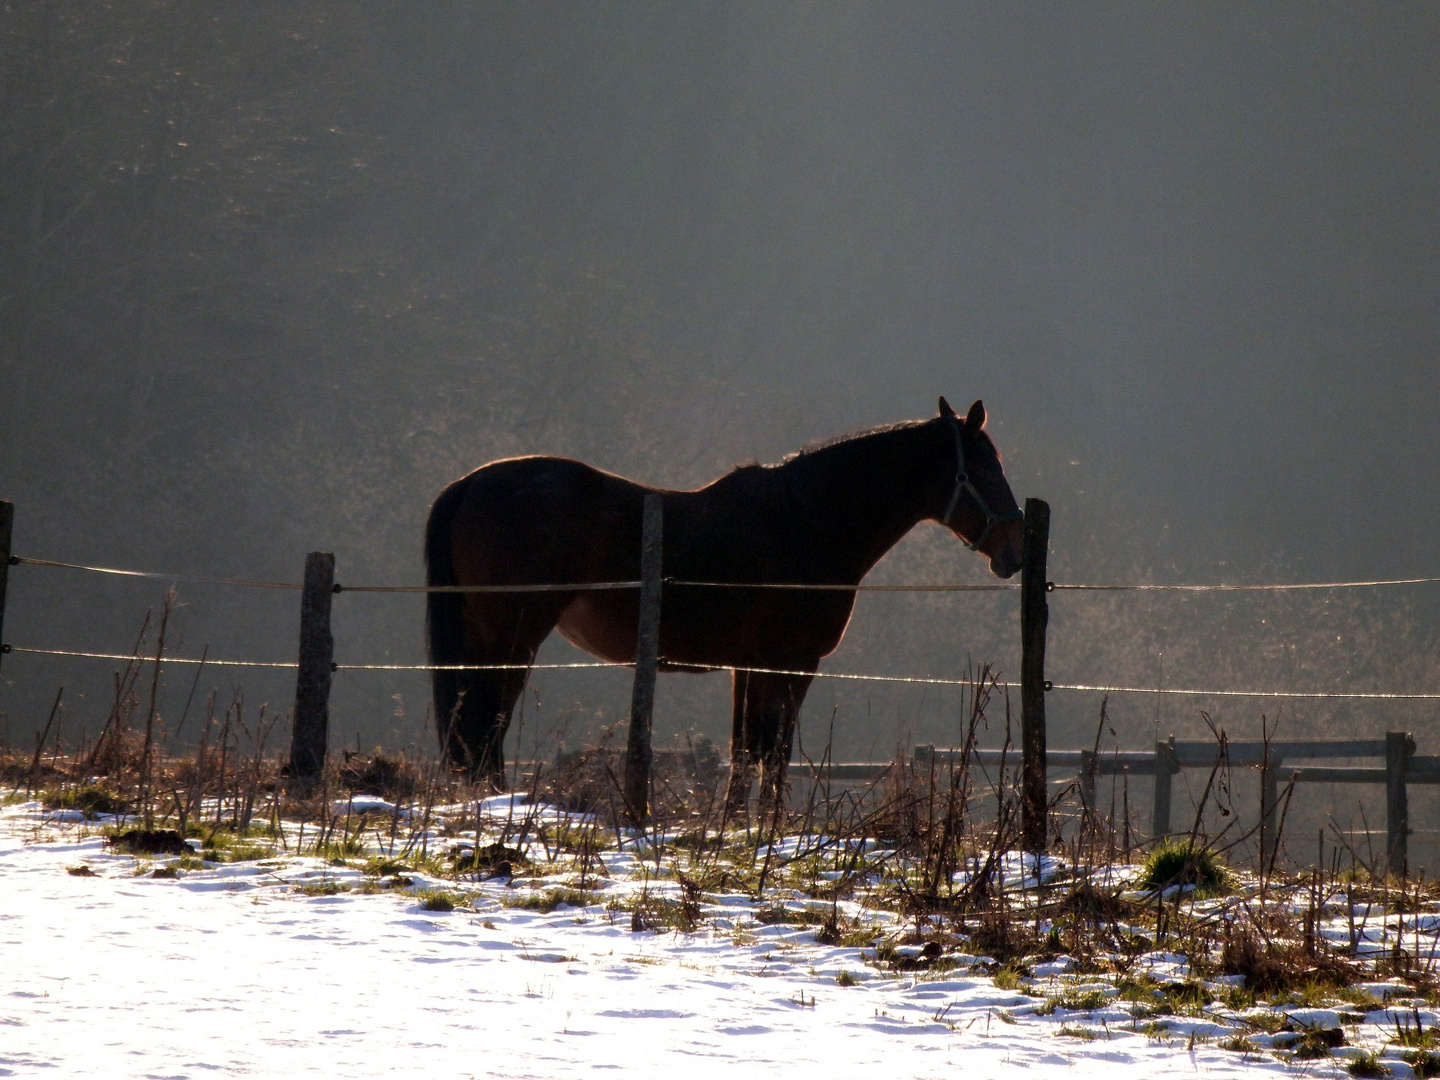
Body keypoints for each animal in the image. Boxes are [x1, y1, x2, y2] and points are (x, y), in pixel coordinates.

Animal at [423, 397, 1025, 806]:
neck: (804, 521)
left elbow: (745, 753)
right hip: (513, 639)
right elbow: (773, 754)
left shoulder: (749, 666)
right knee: (485, 726)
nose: (1014, 549)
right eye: (985, 467)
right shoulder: (792, 664)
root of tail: (470, 484)